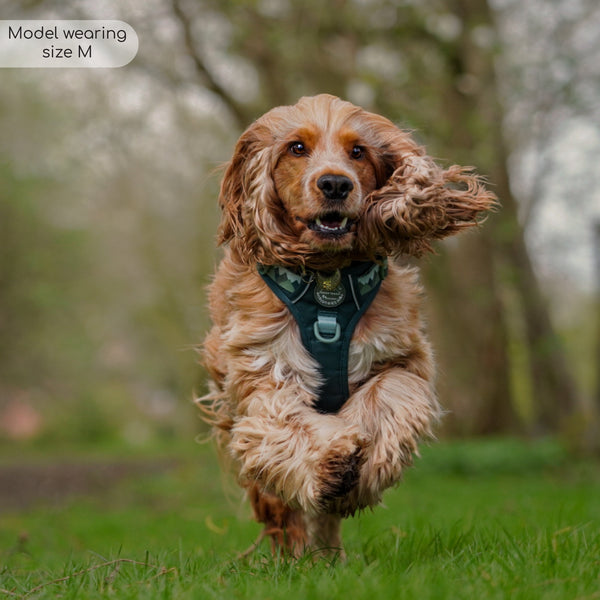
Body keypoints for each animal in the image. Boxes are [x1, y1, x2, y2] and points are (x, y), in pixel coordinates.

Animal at [199, 94, 494, 556]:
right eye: (296, 148)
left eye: (358, 151)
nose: (335, 184)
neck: (328, 279)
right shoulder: (265, 367)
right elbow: (285, 424)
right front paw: (330, 463)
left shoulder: (399, 358)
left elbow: (387, 398)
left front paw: (366, 467)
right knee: (279, 507)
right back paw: (297, 552)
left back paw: (326, 552)